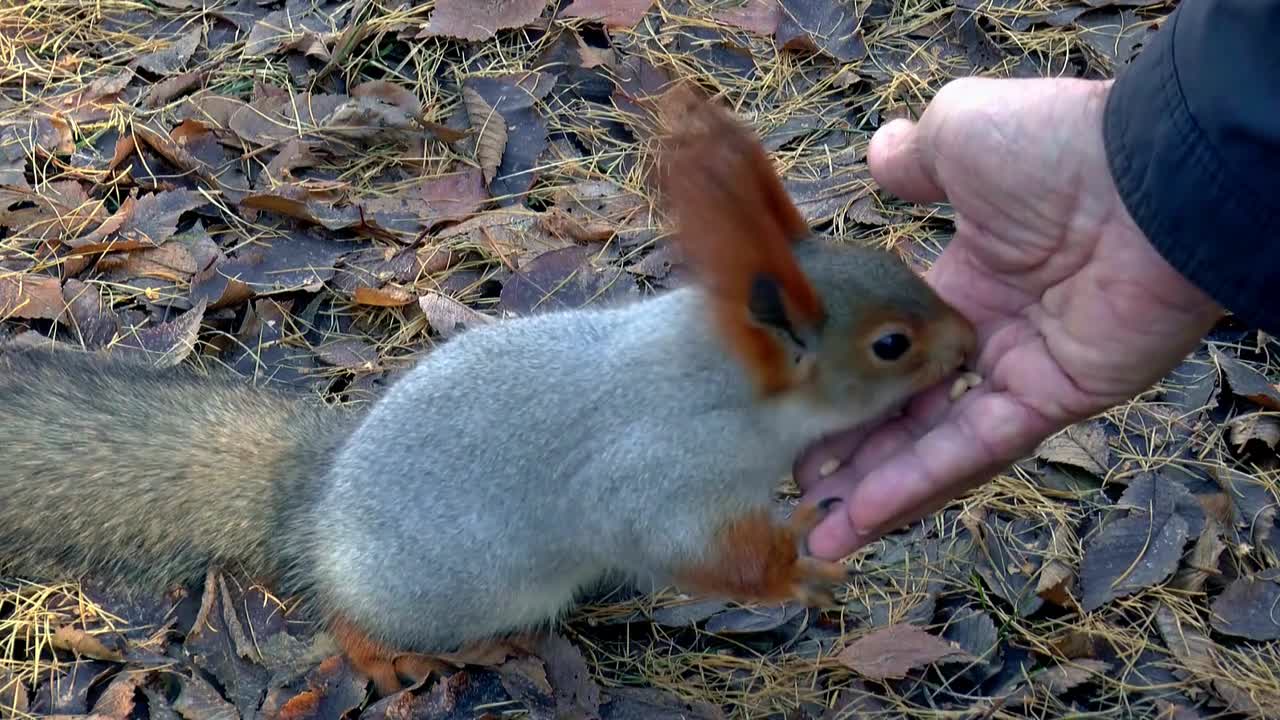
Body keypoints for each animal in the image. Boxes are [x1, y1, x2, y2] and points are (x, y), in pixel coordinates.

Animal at [0, 85, 972, 696]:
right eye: (891, 345)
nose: (970, 345)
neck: (720, 380)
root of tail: (315, 508)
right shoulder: (655, 476)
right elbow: (686, 548)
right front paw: (797, 563)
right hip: (437, 591)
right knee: (350, 614)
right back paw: (383, 653)